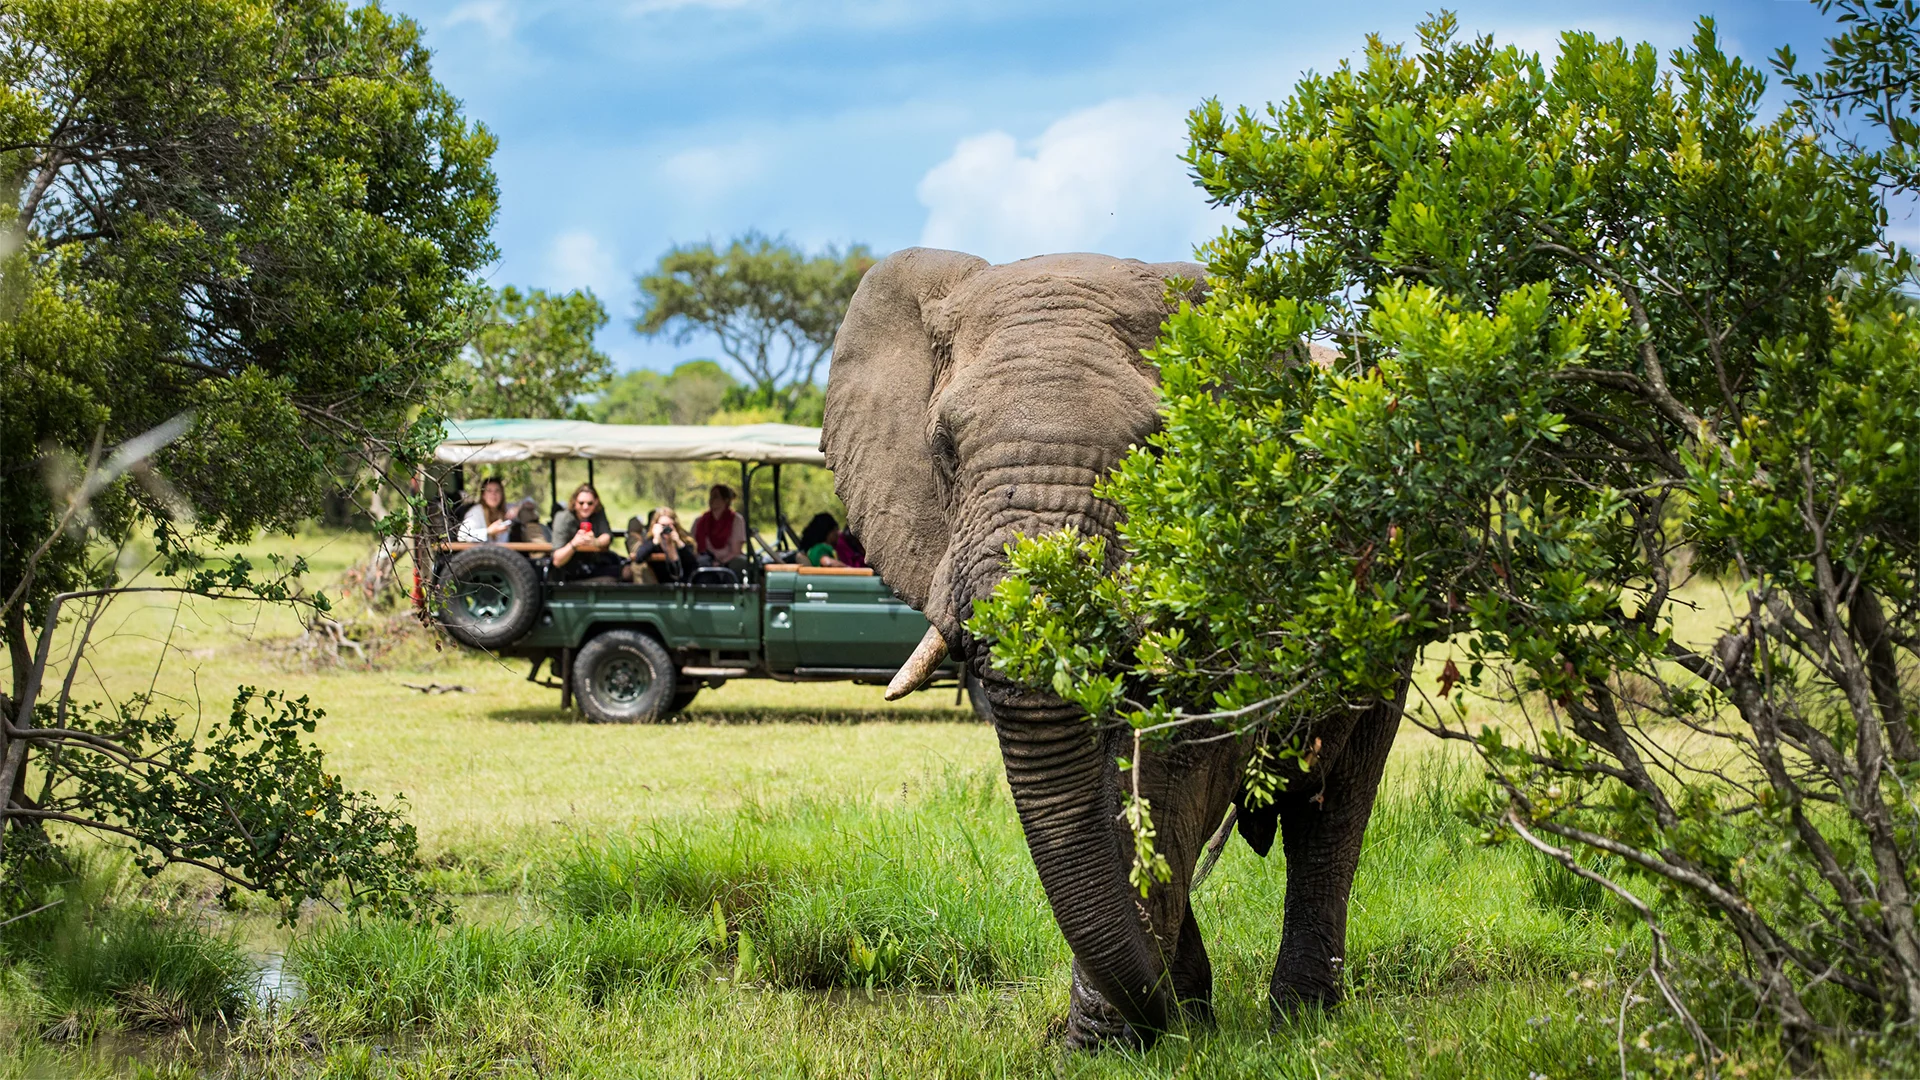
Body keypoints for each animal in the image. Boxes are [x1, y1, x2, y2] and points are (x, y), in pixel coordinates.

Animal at [821, 247, 1407, 1049]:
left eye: (1155, 446)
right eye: (943, 448)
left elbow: (1168, 769)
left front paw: (1118, 1037)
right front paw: (1166, 1016)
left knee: (1333, 809)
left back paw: (1303, 1016)